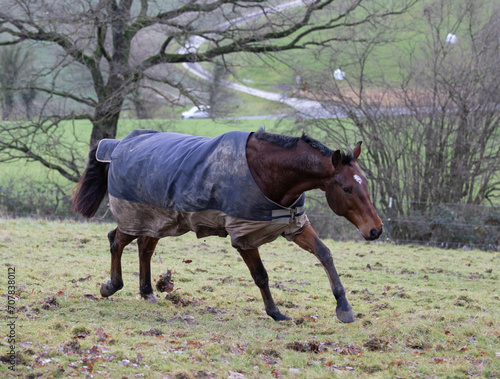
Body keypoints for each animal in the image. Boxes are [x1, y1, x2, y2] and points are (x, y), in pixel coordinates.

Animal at [71, 130, 382, 324]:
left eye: (365, 183)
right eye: (346, 188)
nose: (375, 230)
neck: (267, 171)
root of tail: (118, 145)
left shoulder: (293, 225)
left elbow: (325, 254)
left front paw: (344, 308)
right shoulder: (244, 236)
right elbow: (261, 276)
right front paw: (275, 312)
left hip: (158, 220)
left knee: (144, 248)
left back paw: (147, 292)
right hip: (136, 216)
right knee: (116, 240)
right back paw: (111, 286)